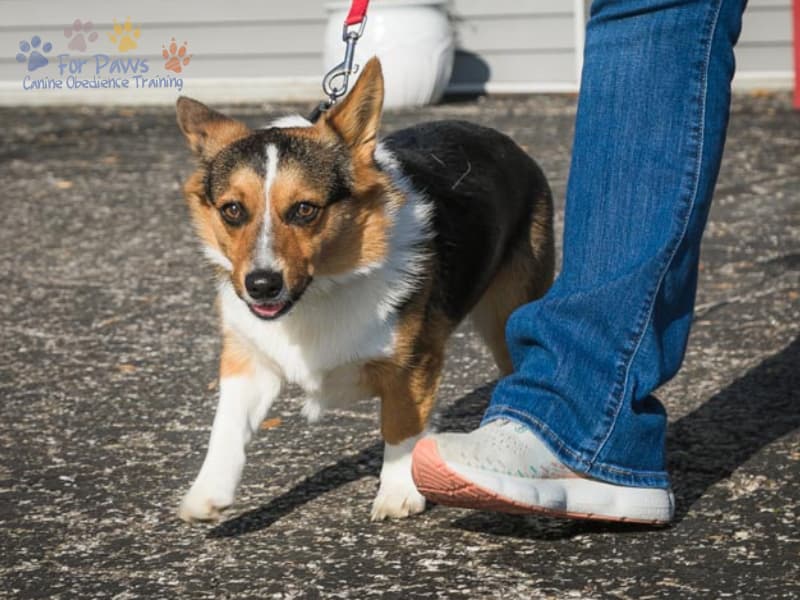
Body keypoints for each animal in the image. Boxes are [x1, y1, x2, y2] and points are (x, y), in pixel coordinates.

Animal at [174, 58, 552, 524]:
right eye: (231, 210)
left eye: (305, 210)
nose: (260, 286)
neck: (320, 291)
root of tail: (506, 142)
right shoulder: (249, 360)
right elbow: (226, 425)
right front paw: (207, 492)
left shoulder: (414, 363)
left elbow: (401, 425)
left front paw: (398, 491)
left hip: (507, 315)